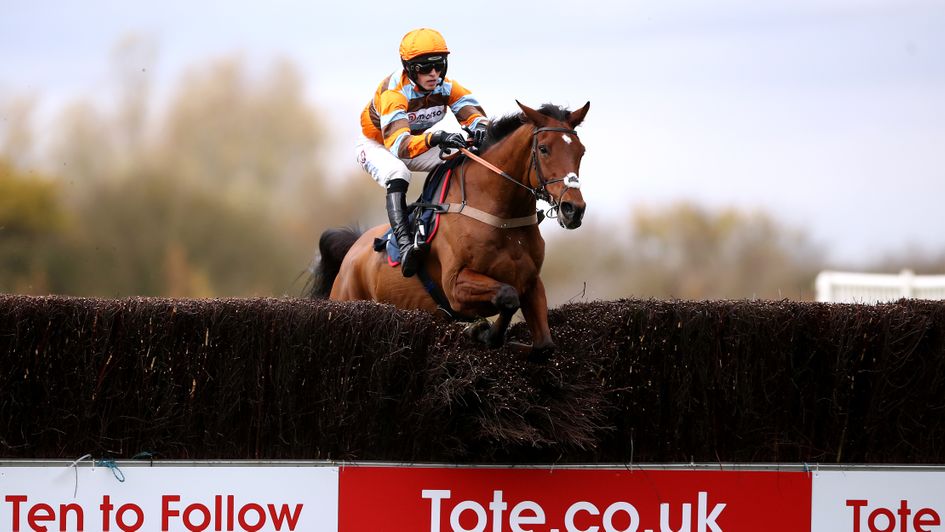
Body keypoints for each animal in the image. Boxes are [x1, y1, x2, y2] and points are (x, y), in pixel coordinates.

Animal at [314, 101, 588, 358]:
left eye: (581, 151)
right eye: (543, 149)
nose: (573, 209)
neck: (502, 217)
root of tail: (353, 249)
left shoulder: (531, 282)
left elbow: (543, 346)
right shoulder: (455, 287)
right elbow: (508, 297)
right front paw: (480, 332)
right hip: (347, 299)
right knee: (397, 177)